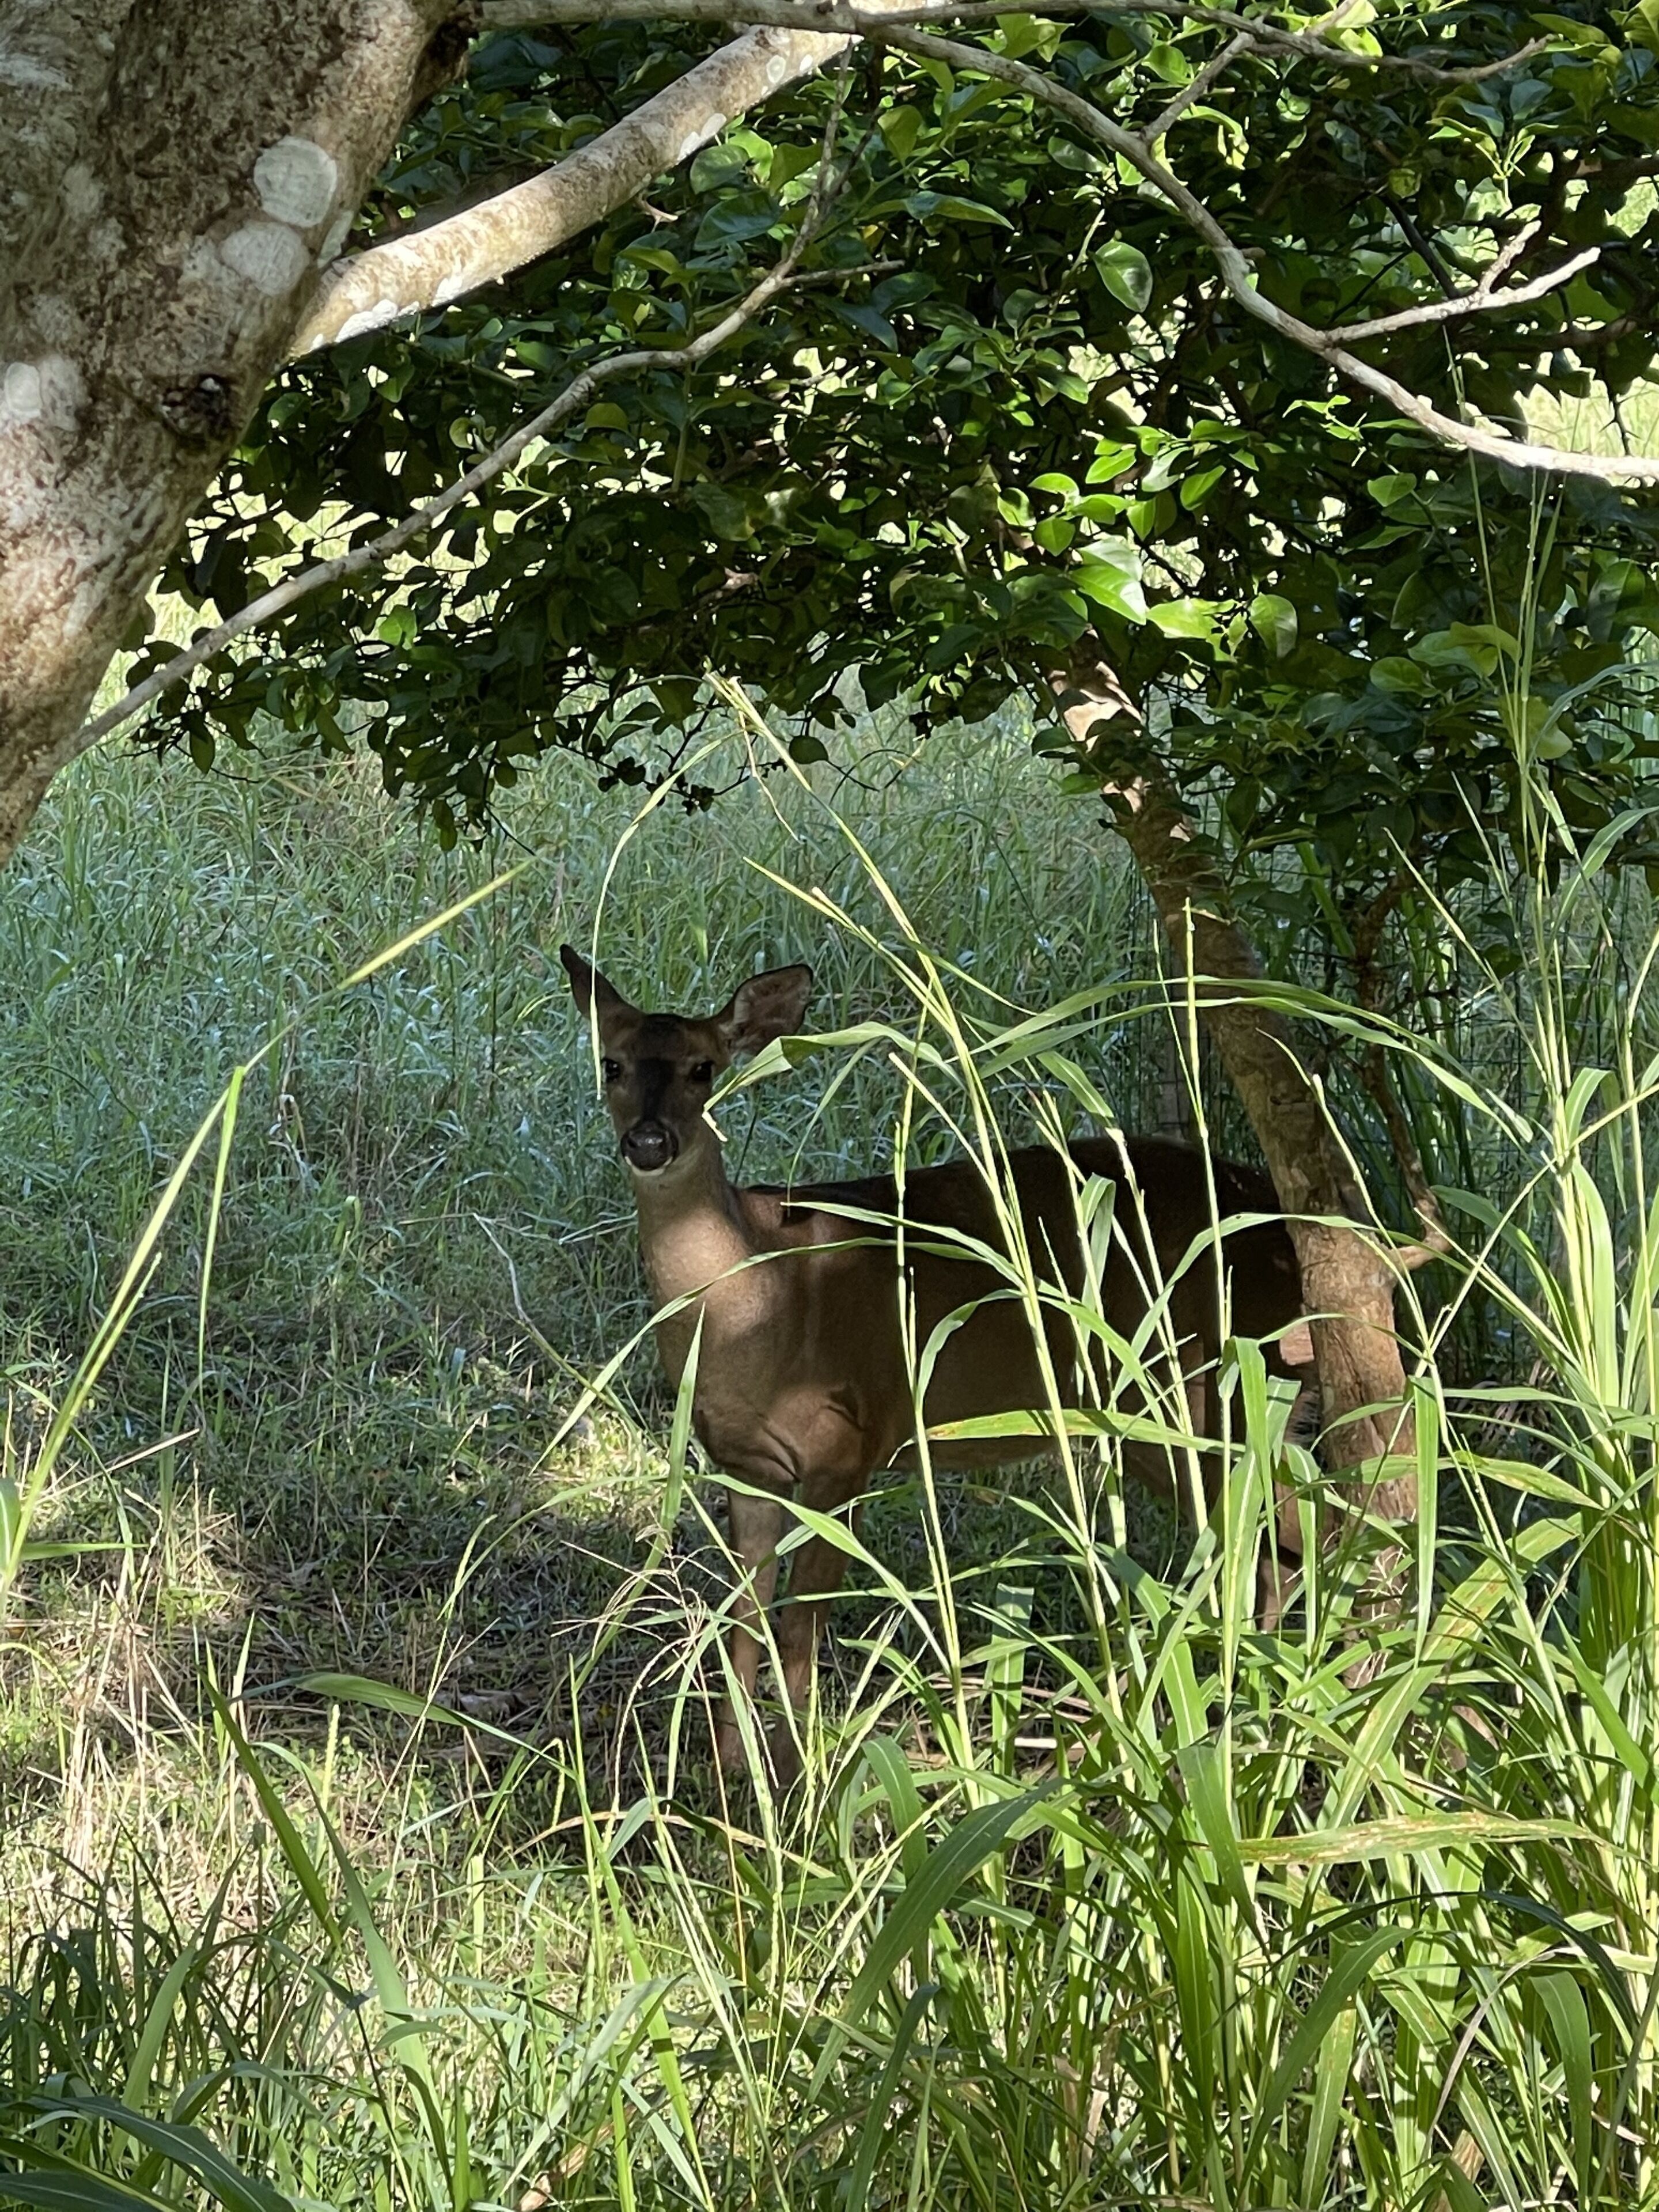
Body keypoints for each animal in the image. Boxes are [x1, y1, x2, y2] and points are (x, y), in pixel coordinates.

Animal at [560, 945, 1310, 1782]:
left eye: (703, 1067)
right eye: (612, 1061)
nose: (649, 1142)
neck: (761, 1306)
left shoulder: (847, 1447)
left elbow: (801, 1627)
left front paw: (800, 1777)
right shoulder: (745, 1467)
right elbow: (744, 1623)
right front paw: (730, 1780)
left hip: (1210, 1385)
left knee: (1282, 1534)